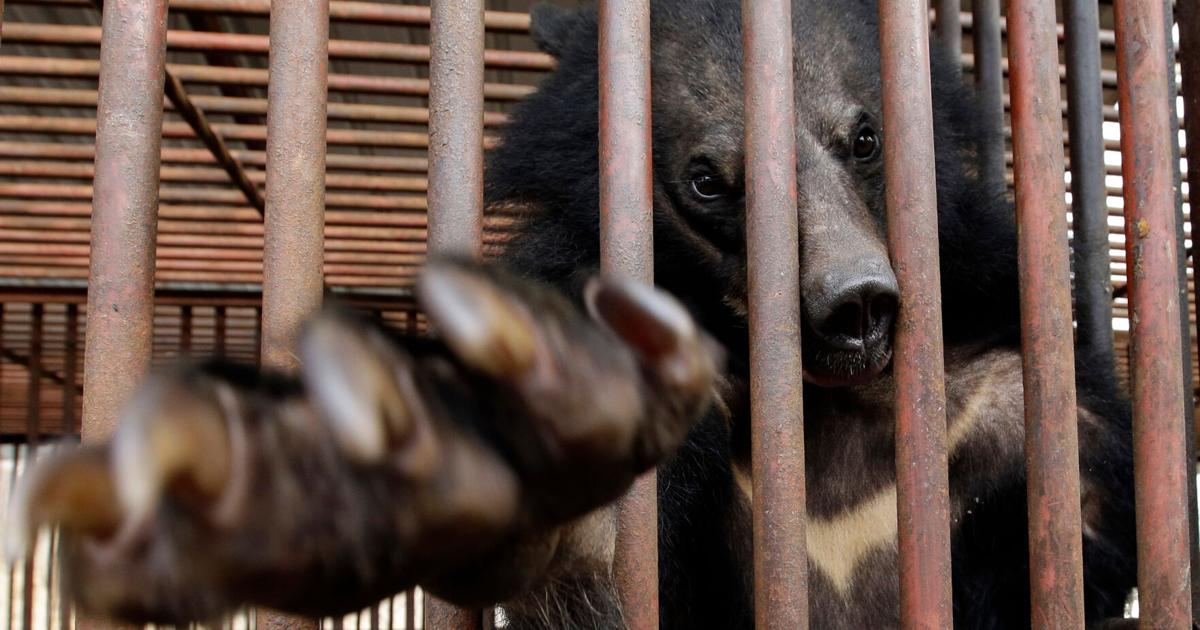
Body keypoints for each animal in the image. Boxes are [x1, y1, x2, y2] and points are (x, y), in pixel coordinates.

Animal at [4, 0, 1137, 628]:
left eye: (865, 138)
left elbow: (1080, 530)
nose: (855, 306)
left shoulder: (1010, 388)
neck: (817, 408)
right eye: (707, 181)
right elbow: (587, 558)